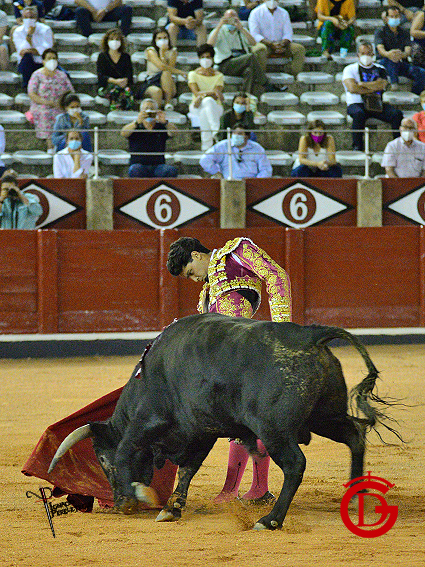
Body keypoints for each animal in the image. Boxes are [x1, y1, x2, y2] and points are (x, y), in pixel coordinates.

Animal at [48, 313, 396, 530]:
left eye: (101, 459)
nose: (116, 501)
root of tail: (309, 333)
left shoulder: (147, 421)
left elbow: (126, 451)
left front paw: (133, 498)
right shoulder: (201, 431)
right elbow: (188, 468)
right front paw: (171, 508)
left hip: (275, 430)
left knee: (295, 464)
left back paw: (269, 520)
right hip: (325, 414)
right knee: (354, 434)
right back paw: (356, 494)